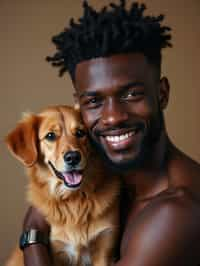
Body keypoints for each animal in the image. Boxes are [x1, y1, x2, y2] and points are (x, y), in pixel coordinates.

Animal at [5, 105, 120, 266]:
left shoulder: (104, 245)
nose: (73, 157)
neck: (74, 200)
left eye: (80, 133)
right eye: (50, 136)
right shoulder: (57, 251)